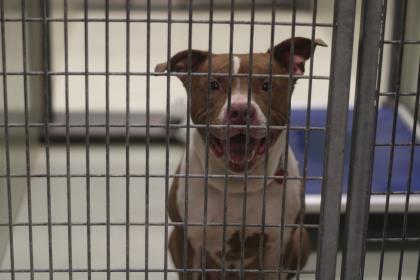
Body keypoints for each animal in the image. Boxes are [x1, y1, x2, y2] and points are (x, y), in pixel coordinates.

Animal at [156, 37, 326, 280]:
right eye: (213, 85)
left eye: (267, 85)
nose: (240, 110)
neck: (238, 185)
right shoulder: (189, 241)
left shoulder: (278, 245)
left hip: (300, 239)